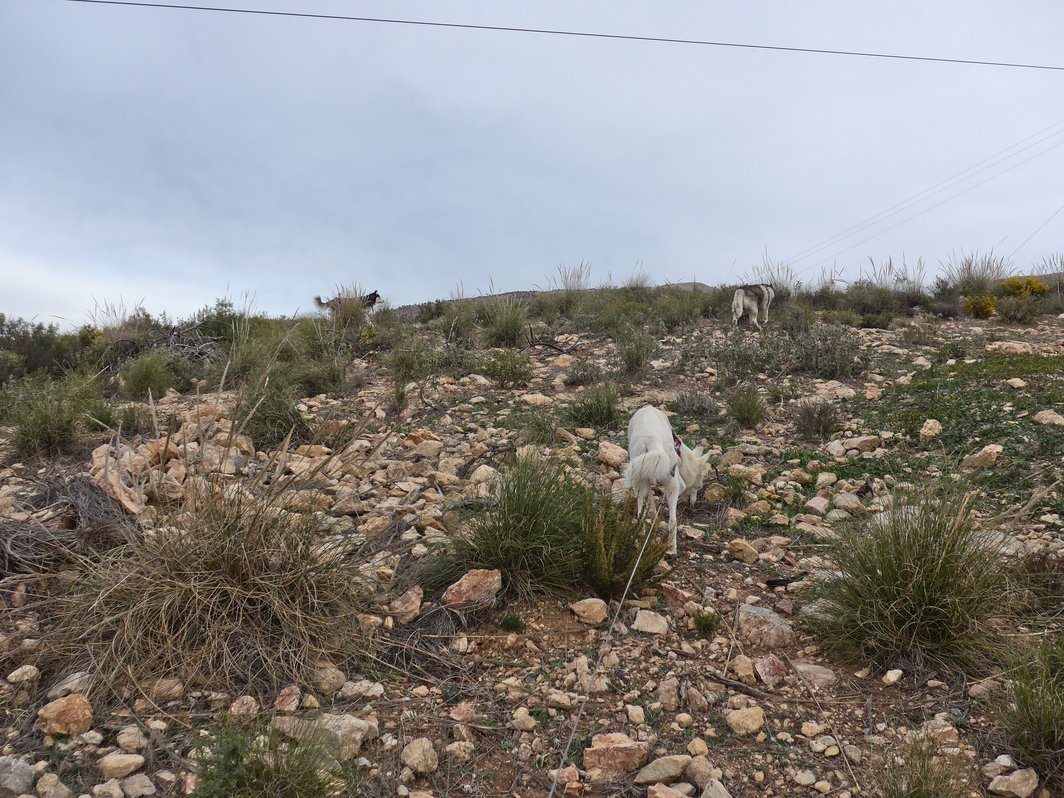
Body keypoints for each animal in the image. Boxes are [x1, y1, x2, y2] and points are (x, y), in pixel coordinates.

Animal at [621, 408, 706, 553]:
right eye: (699, 485)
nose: (692, 504)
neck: (681, 455)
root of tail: (653, 441)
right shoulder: (679, 482)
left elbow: (650, 501)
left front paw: (654, 517)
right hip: (672, 483)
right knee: (673, 520)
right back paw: (672, 550)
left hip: (638, 473)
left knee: (640, 512)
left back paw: (641, 536)